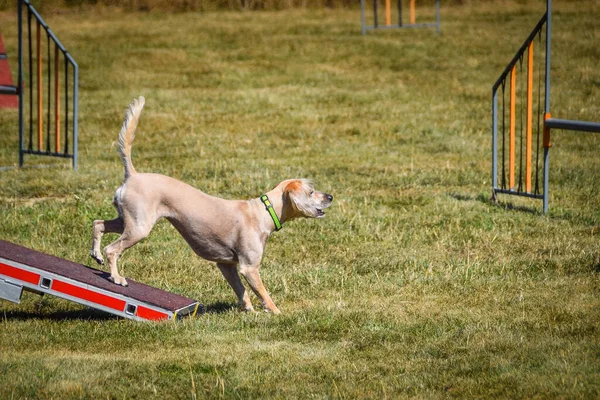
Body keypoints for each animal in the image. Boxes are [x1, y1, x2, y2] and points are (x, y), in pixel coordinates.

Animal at [90, 97, 332, 316]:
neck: (263, 212)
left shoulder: (227, 265)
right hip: (139, 228)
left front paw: (249, 311)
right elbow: (263, 293)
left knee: (98, 223)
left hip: (127, 220)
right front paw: (276, 313)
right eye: (311, 192)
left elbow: (242, 291)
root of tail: (133, 175)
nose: (330, 196)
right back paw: (117, 277)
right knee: (112, 250)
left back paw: (96, 254)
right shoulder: (249, 267)